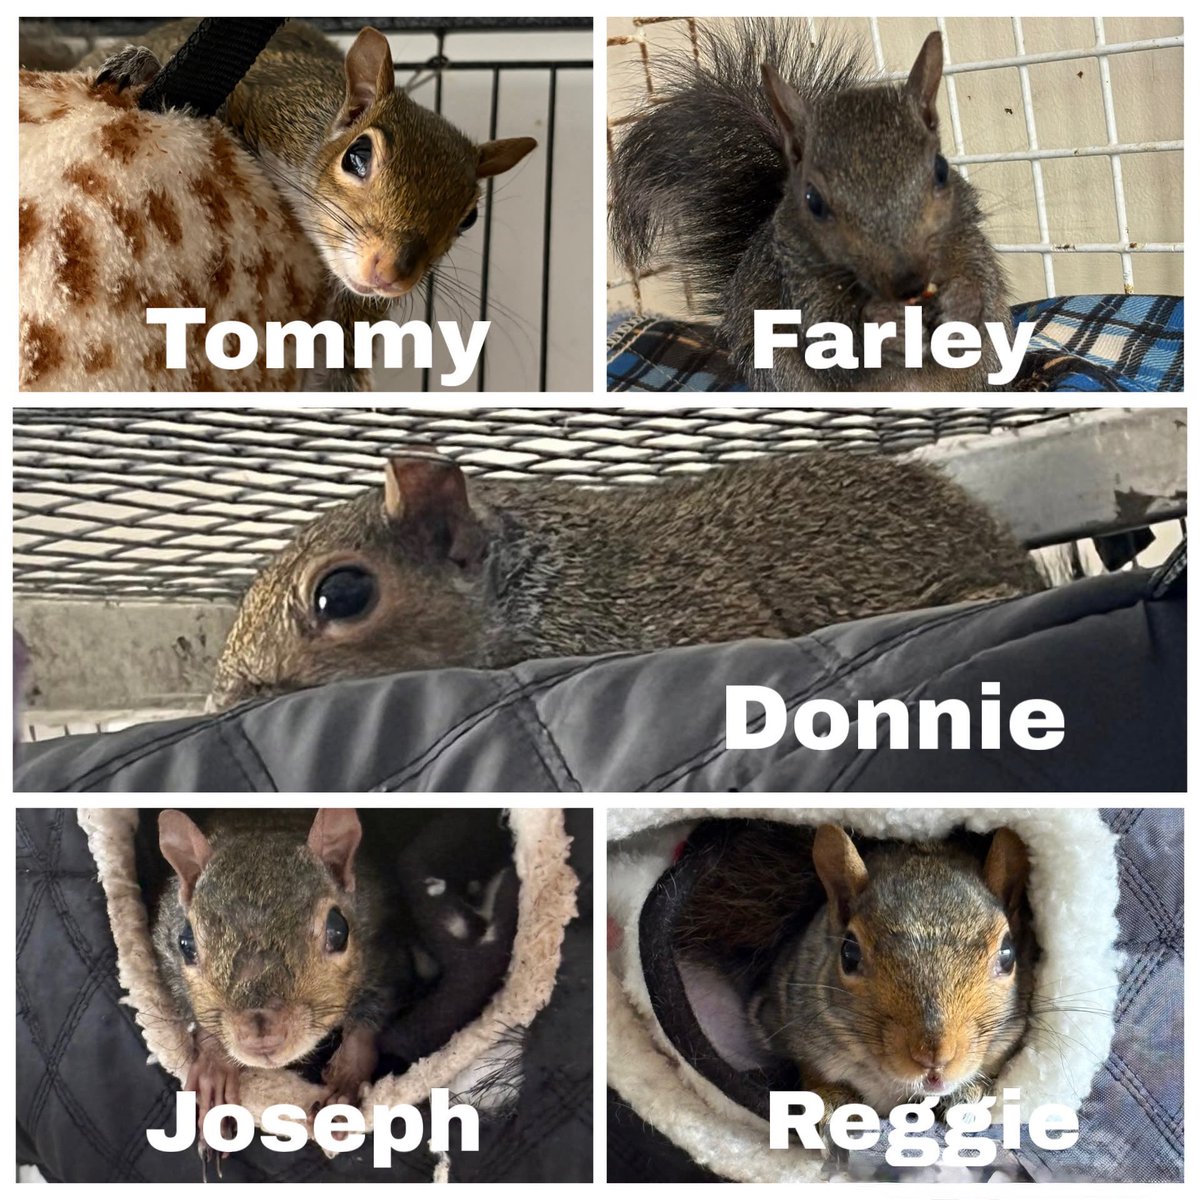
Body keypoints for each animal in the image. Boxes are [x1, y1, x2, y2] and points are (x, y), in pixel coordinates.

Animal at [152, 808, 406, 1137]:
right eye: (185, 942)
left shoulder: (387, 951)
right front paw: (214, 1068)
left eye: (339, 930)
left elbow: (368, 1023)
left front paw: (346, 1081)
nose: (260, 1036)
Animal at [609, 19, 1009, 391]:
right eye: (813, 201)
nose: (907, 281)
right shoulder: (798, 284)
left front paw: (962, 300)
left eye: (941, 169)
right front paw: (882, 321)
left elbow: (985, 288)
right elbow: (831, 345)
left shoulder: (967, 240)